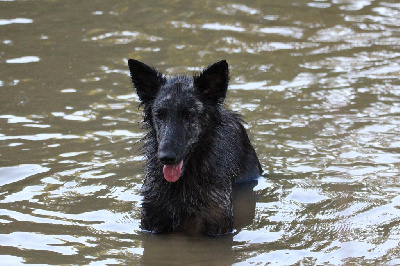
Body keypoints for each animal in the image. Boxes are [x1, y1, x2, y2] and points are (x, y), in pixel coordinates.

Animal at [128, 59, 262, 236]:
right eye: (159, 115)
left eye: (189, 115)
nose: (166, 157)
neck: (181, 184)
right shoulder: (151, 222)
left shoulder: (217, 224)